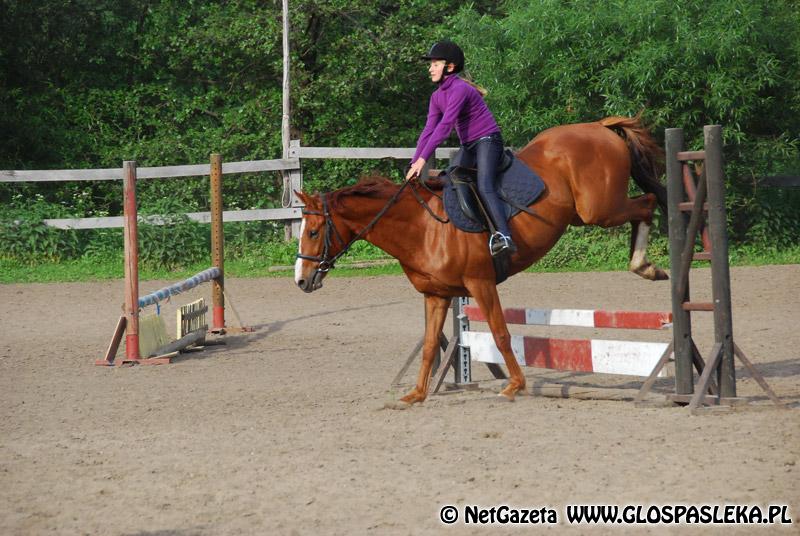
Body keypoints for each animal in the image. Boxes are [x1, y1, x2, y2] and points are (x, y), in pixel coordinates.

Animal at [293, 116, 667, 405]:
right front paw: (416, 393)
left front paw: (514, 385)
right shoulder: (437, 294)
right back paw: (644, 265)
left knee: (647, 202)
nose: (301, 280)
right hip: (585, 214)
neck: (422, 226)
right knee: (645, 203)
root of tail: (598, 126)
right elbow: (430, 344)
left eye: (312, 231)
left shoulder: (480, 283)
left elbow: (500, 333)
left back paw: (644, 265)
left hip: (599, 210)